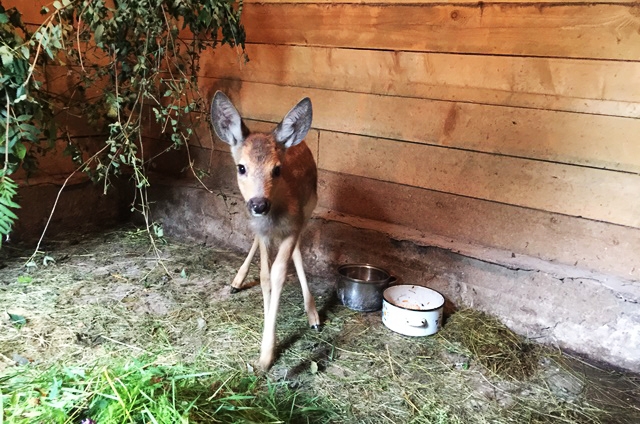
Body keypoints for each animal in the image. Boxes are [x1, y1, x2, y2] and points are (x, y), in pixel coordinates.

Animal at [211, 91, 320, 370]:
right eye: (241, 167)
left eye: (277, 169)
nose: (259, 204)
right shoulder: (261, 231)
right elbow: (264, 276)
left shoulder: (293, 225)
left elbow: (280, 273)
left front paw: (266, 355)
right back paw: (237, 281)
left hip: (309, 208)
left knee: (297, 252)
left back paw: (313, 314)